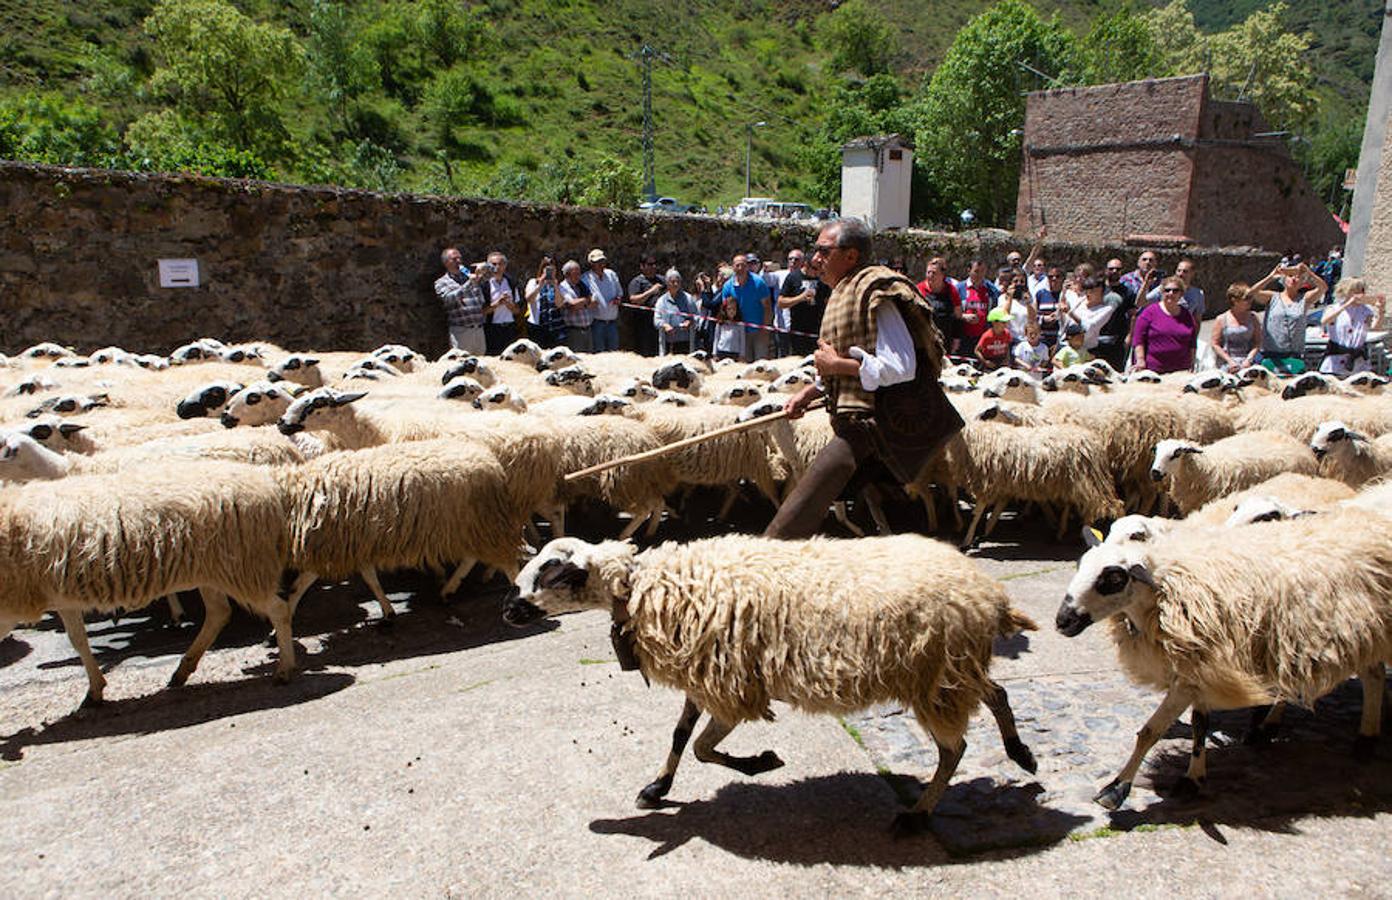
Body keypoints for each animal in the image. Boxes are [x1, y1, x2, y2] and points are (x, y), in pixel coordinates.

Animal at [506, 531, 1041, 834]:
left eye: (551, 573)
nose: (508, 610)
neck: (642, 588)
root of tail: (990, 595)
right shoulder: (708, 675)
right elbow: (682, 737)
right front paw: (657, 787)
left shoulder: (729, 683)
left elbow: (701, 747)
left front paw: (759, 762)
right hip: (950, 669)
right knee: (997, 693)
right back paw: (1021, 754)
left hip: (935, 674)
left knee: (956, 748)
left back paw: (918, 815)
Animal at [1052, 511, 1392, 812]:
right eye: (1080, 564)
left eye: (1113, 578)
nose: (1062, 621)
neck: (1165, 593)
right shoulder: (1198, 668)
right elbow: (1198, 725)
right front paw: (1193, 779)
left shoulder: (1195, 673)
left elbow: (1151, 731)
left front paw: (1116, 789)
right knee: (1364, 674)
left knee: (1373, 676)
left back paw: (1363, 739)